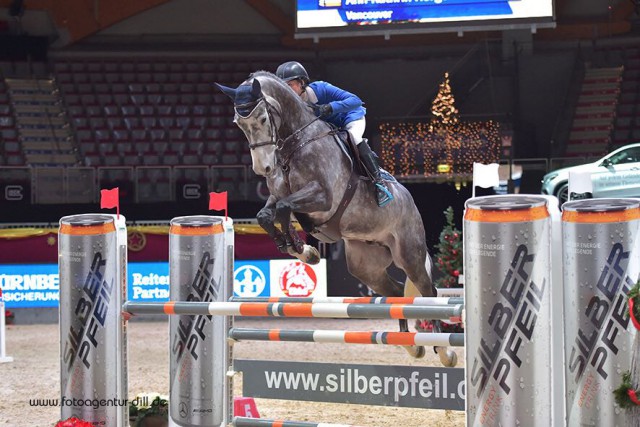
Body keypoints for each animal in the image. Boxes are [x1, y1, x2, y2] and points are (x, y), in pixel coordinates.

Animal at [218, 71, 458, 368]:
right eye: (238, 123)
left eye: (263, 118)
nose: (264, 168)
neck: (296, 143)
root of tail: (410, 201)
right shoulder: (279, 196)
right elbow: (267, 215)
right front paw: (301, 249)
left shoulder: (323, 198)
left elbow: (285, 208)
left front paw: (303, 249)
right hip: (365, 264)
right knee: (395, 291)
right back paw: (411, 345)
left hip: (409, 254)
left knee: (428, 292)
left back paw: (444, 351)